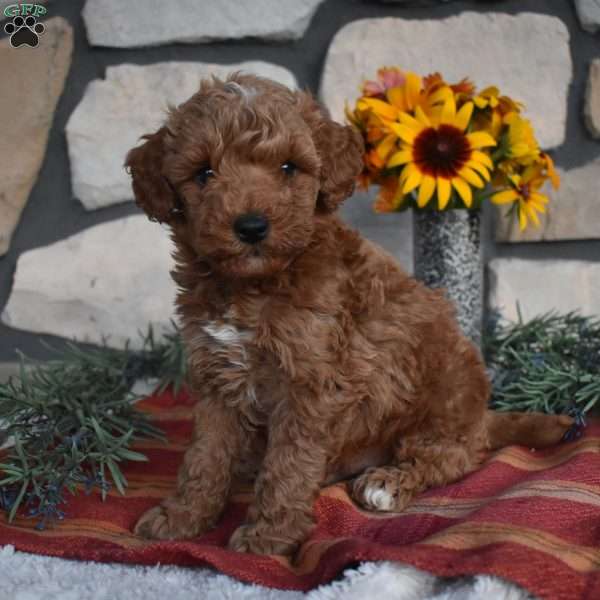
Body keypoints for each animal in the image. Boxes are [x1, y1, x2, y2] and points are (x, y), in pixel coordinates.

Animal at [125, 72, 572, 556]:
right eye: (204, 173)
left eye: (289, 168)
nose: (251, 226)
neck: (253, 287)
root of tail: (483, 419)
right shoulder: (216, 376)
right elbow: (205, 455)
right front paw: (183, 517)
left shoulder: (310, 383)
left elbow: (288, 465)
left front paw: (268, 536)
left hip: (445, 400)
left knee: (447, 458)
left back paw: (386, 482)